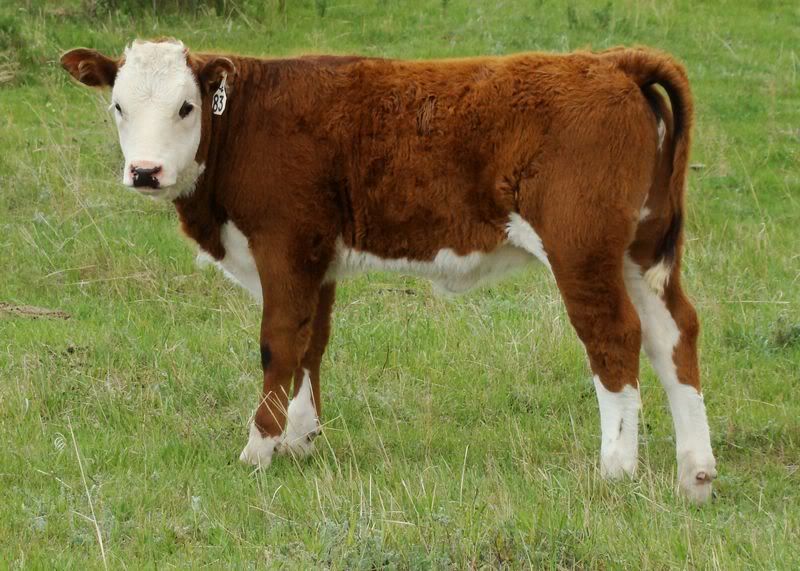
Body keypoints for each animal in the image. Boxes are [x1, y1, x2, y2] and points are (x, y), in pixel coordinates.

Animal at [61, 38, 717, 502]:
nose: (145, 172)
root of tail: (610, 63)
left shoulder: (283, 245)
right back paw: (695, 474)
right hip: (640, 251)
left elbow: (279, 343)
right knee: (674, 332)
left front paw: (258, 449)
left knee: (614, 337)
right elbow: (312, 342)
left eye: (186, 107)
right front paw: (300, 439)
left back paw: (616, 470)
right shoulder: (317, 256)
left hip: (581, 248)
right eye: (118, 105)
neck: (246, 124)